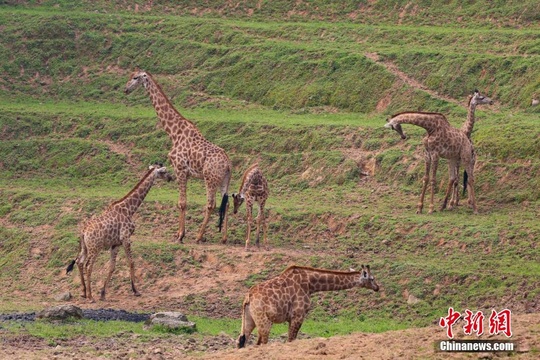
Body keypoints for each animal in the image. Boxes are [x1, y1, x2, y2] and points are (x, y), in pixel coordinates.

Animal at [65, 165, 172, 302]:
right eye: (164, 171)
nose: (170, 178)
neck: (129, 209)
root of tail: (83, 231)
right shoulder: (126, 238)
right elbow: (131, 262)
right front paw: (136, 291)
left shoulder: (115, 244)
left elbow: (112, 267)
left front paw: (103, 293)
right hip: (95, 248)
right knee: (88, 266)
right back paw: (90, 296)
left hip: (85, 247)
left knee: (79, 262)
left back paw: (84, 292)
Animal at [125, 70, 233, 243]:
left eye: (135, 77)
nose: (126, 89)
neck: (173, 133)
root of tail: (229, 164)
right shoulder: (186, 173)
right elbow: (182, 202)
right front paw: (178, 233)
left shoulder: (180, 169)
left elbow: (182, 202)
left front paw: (180, 235)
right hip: (224, 180)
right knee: (227, 203)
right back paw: (224, 238)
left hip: (210, 178)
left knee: (211, 204)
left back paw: (199, 236)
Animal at [236, 262, 380, 348]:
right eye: (372, 278)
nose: (377, 287)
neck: (311, 285)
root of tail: (248, 298)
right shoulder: (298, 315)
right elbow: (291, 340)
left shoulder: (292, 318)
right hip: (264, 321)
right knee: (261, 343)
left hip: (249, 320)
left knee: (242, 341)